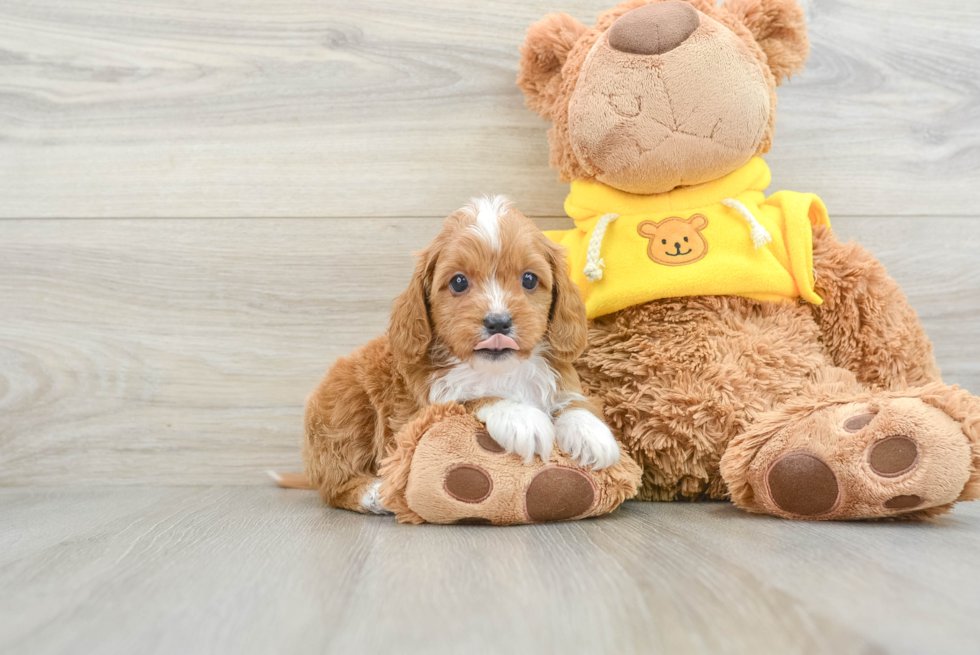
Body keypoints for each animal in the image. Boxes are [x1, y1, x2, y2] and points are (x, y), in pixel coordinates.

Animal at [304, 197, 620, 516]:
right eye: (458, 282)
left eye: (529, 279)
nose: (498, 323)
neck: (500, 371)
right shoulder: (424, 407)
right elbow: (471, 397)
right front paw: (520, 417)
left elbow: (574, 401)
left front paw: (591, 432)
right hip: (347, 409)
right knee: (335, 484)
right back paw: (375, 493)